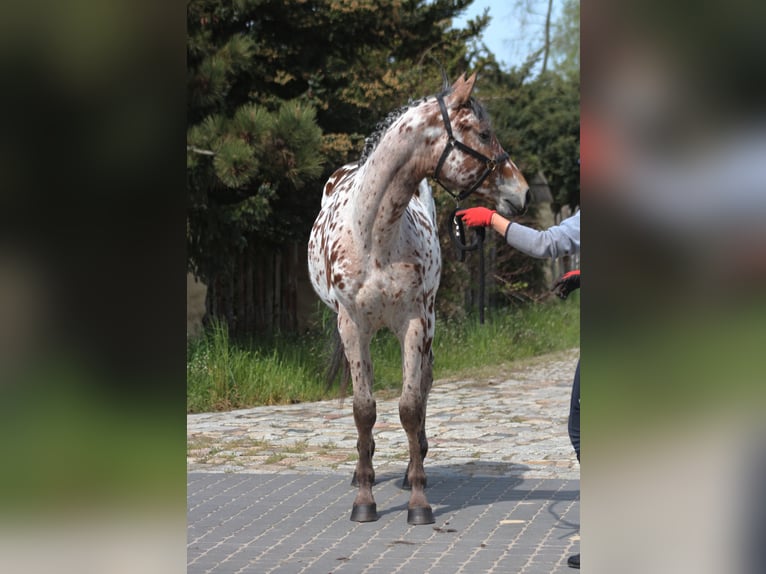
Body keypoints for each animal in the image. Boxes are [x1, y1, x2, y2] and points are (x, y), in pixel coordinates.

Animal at [308, 73, 532, 528]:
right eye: (484, 133)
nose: (523, 192)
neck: (374, 234)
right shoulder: (352, 325)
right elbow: (363, 409)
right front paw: (364, 498)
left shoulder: (414, 322)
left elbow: (410, 406)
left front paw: (418, 500)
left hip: (427, 323)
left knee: (425, 382)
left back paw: (418, 461)